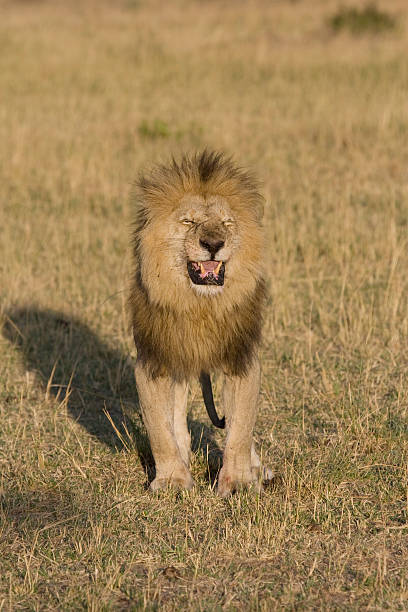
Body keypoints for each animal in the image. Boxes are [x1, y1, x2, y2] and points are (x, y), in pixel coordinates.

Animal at [129, 149, 270, 498]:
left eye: (227, 223)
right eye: (188, 222)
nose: (213, 243)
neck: (200, 305)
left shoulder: (241, 358)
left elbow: (240, 428)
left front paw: (239, 482)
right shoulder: (154, 360)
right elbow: (160, 430)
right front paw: (172, 481)